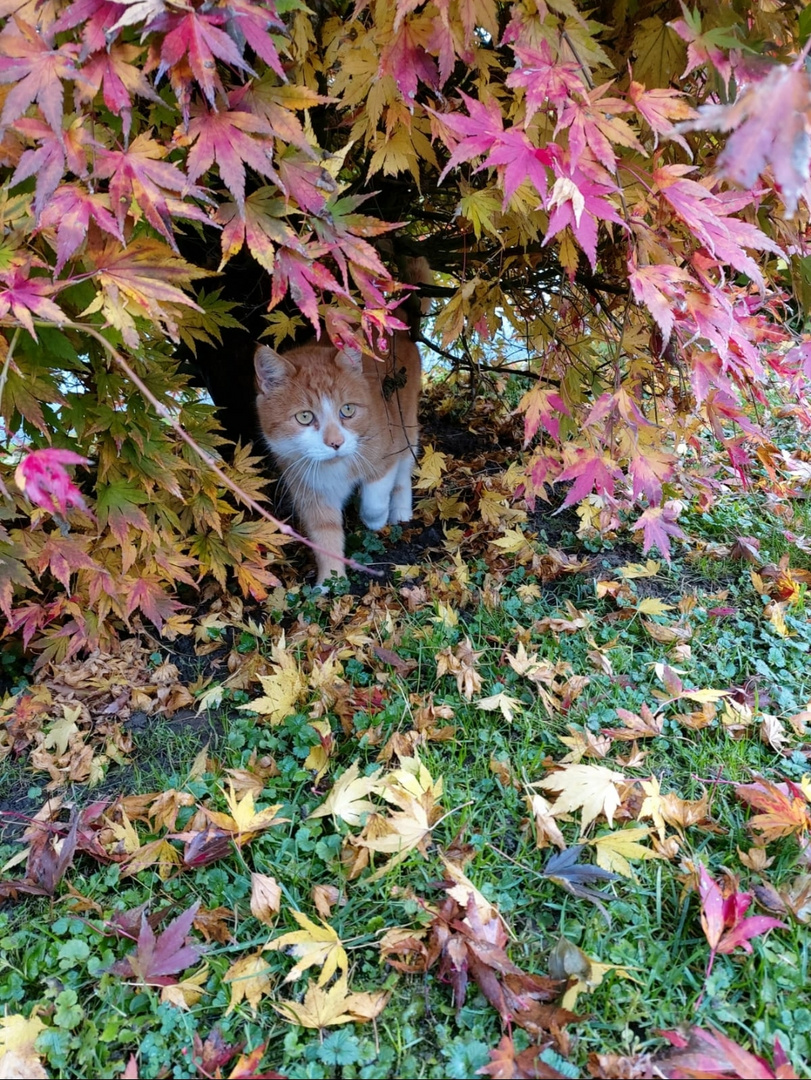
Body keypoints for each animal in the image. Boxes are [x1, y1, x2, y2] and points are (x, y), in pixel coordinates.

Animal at [254, 332, 421, 587]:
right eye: (304, 417)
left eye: (348, 410)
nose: (336, 443)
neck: (334, 467)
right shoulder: (310, 491)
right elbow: (325, 536)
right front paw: (331, 583)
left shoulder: (385, 455)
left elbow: (376, 497)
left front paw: (374, 520)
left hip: (406, 424)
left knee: (404, 468)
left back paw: (400, 510)